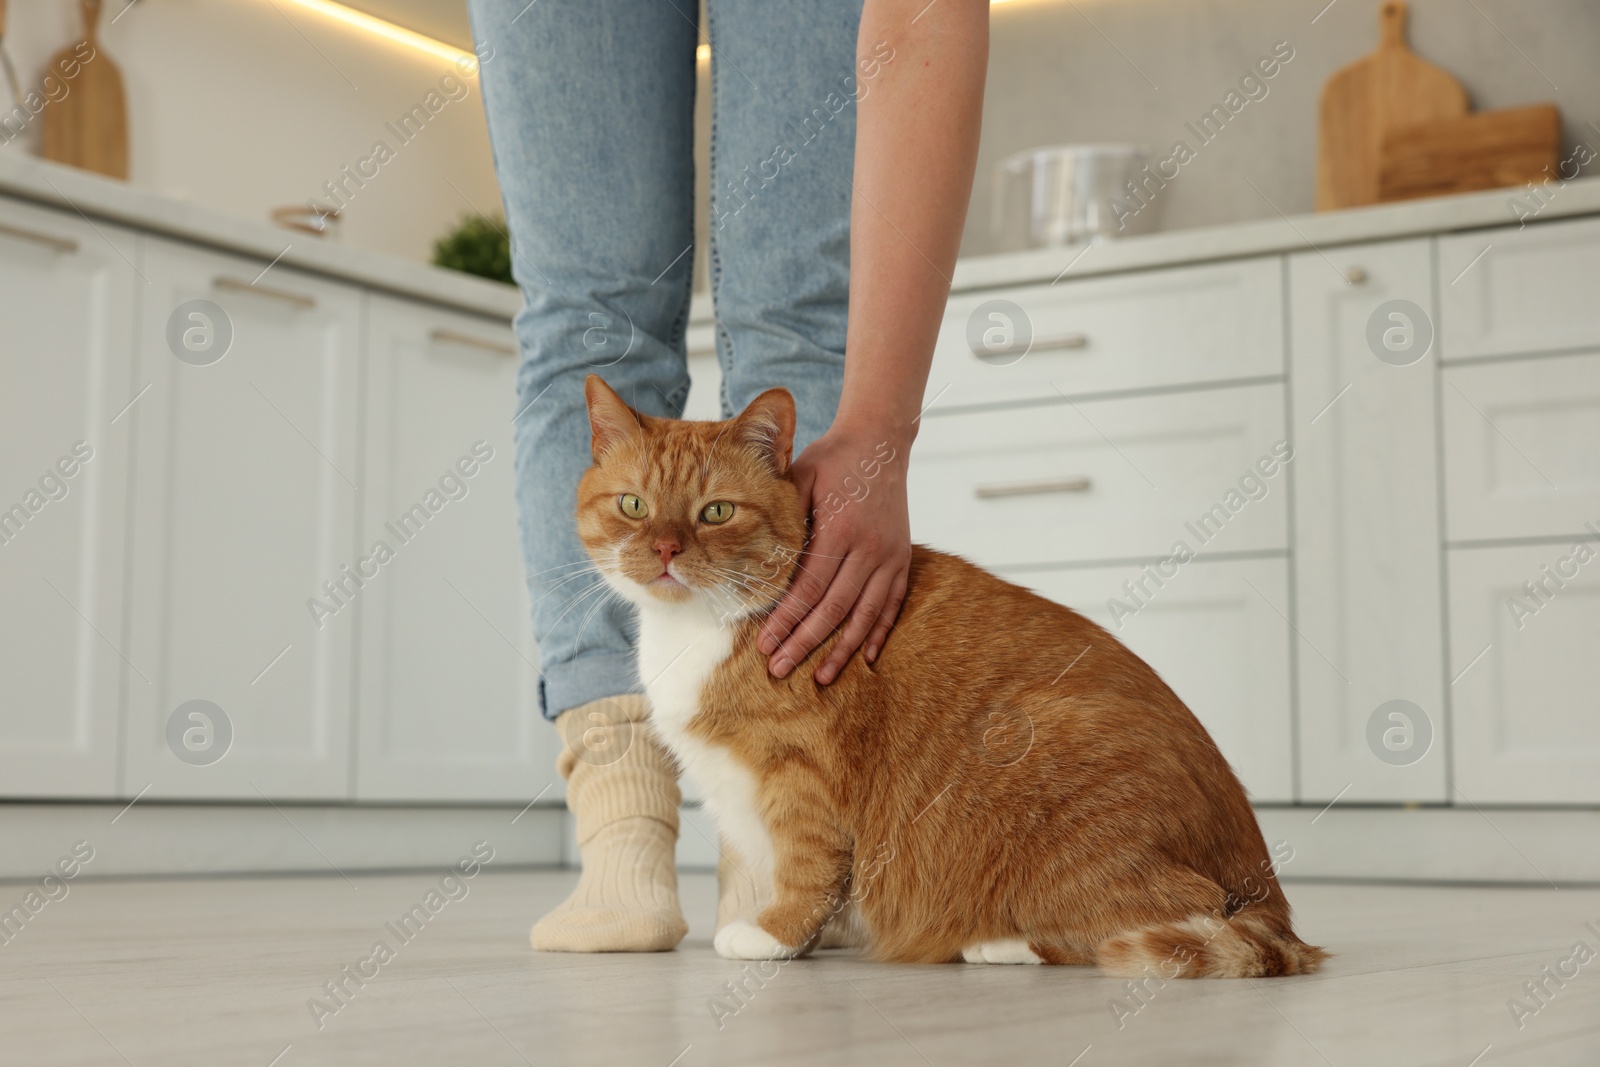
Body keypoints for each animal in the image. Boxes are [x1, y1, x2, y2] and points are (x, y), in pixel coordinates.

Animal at [576, 375, 1324, 979]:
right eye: (633, 505)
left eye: (716, 512)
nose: (665, 550)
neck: (695, 631)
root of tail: (1267, 890)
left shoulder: (800, 778)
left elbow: (807, 871)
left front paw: (772, 935)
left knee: (1168, 918)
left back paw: (1000, 943)